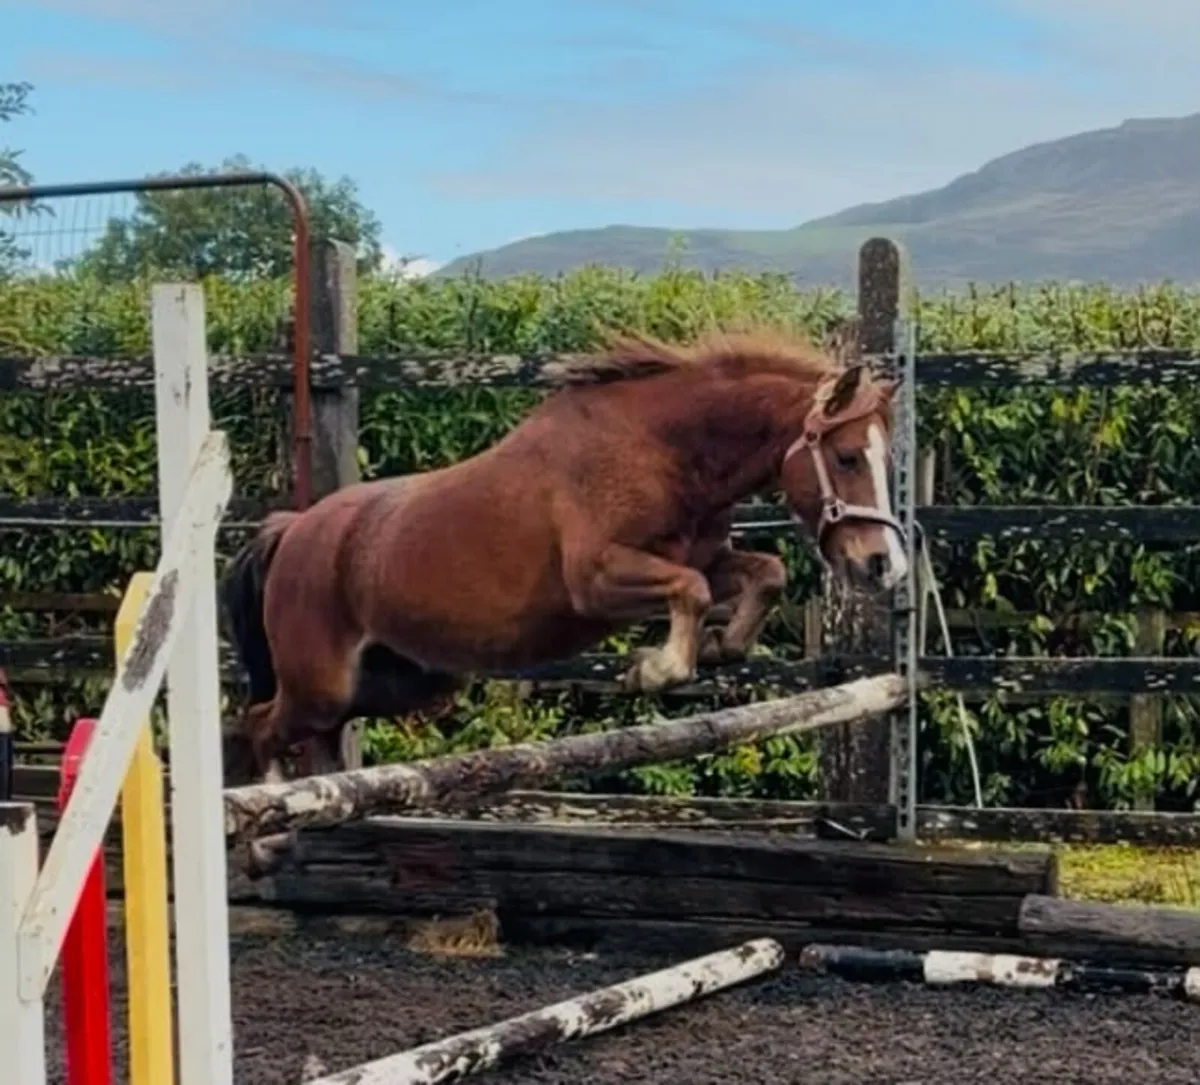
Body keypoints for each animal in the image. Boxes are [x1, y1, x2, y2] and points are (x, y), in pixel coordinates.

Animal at [220, 325, 908, 784]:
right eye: (848, 457)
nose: (884, 566)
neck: (662, 450)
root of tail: (293, 529)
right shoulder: (596, 579)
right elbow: (690, 589)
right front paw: (655, 668)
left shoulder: (706, 554)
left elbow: (763, 572)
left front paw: (720, 646)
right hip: (322, 683)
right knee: (259, 726)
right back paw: (267, 835)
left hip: (398, 683)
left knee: (314, 739)